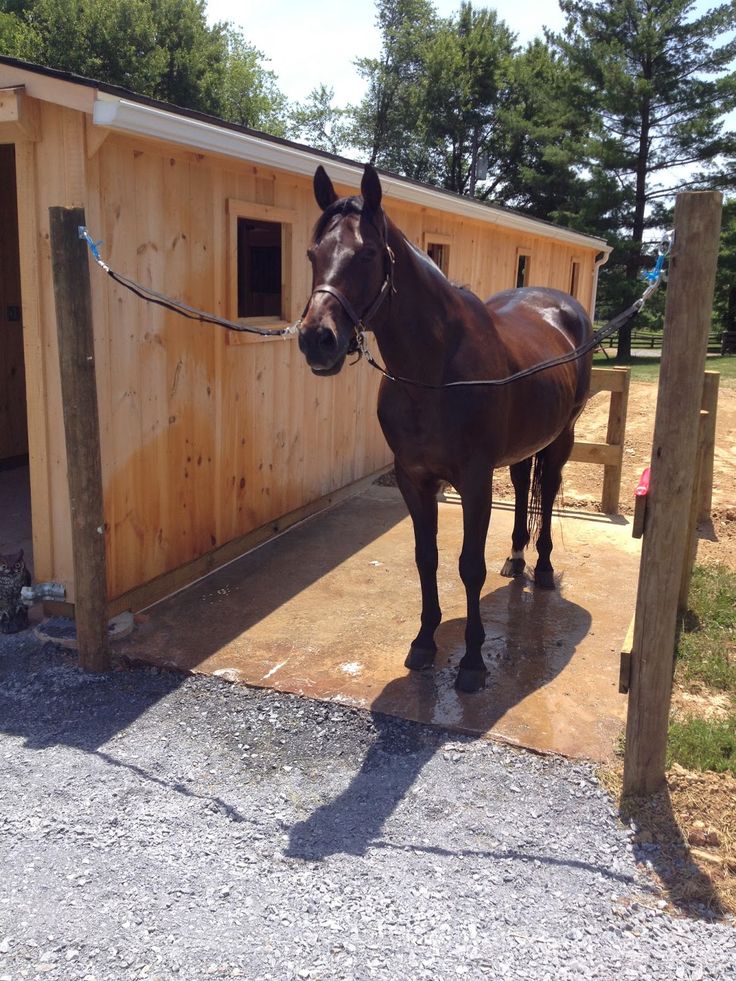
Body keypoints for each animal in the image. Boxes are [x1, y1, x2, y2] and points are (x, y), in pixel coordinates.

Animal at [298, 165, 592, 692]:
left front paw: (472, 662)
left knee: (548, 493)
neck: (434, 372)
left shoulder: (473, 482)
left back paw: (541, 569)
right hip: (522, 449)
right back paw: (516, 559)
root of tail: (562, 308)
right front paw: (423, 642)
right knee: (523, 486)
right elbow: (426, 558)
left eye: (367, 253)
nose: (317, 339)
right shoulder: (414, 479)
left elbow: (469, 567)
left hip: (561, 440)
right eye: (314, 254)